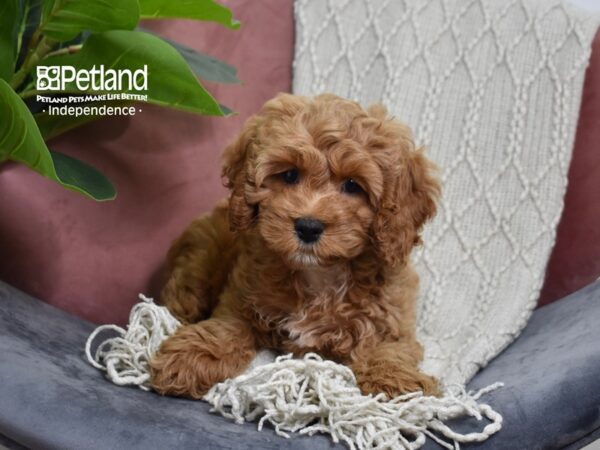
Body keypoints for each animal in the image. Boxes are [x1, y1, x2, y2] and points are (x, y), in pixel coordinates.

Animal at [150, 93, 440, 400]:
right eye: (290, 175)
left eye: (352, 185)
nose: (308, 227)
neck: (320, 275)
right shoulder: (239, 301)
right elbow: (226, 327)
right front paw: (188, 356)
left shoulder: (390, 321)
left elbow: (388, 349)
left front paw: (396, 382)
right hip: (199, 261)